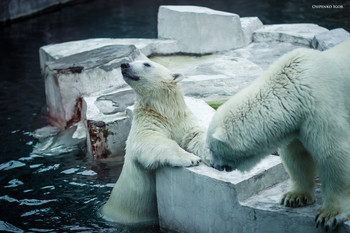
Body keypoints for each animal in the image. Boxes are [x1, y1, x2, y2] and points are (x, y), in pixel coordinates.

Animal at [101, 60, 211, 226]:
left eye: (146, 64)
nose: (124, 65)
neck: (165, 111)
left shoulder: (183, 122)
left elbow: (195, 136)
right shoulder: (148, 124)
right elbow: (153, 141)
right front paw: (191, 158)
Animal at [206, 39, 350, 230]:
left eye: (211, 148)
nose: (213, 165)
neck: (295, 89)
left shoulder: (322, 110)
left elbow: (334, 155)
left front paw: (330, 215)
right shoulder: (297, 124)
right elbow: (297, 156)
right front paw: (294, 197)